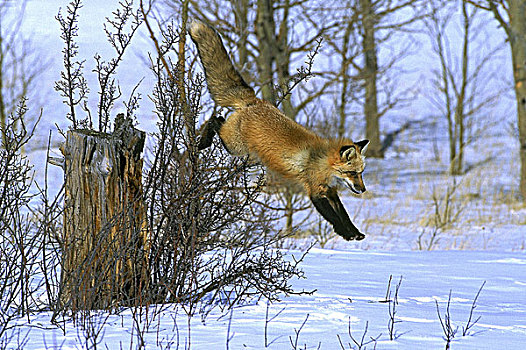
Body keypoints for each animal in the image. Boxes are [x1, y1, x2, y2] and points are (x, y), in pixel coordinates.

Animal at [191, 21, 372, 241]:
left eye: (361, 173)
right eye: (352, 173)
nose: (362, 190)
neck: (322, 162)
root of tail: (255, 101)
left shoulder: (330, 191)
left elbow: (344, 215)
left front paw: (354, 232)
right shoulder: (315, 191)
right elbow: (333, 217)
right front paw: (345, 234)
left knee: (219, 118)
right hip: (235, 146)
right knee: (215, 120)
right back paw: (203, 141)